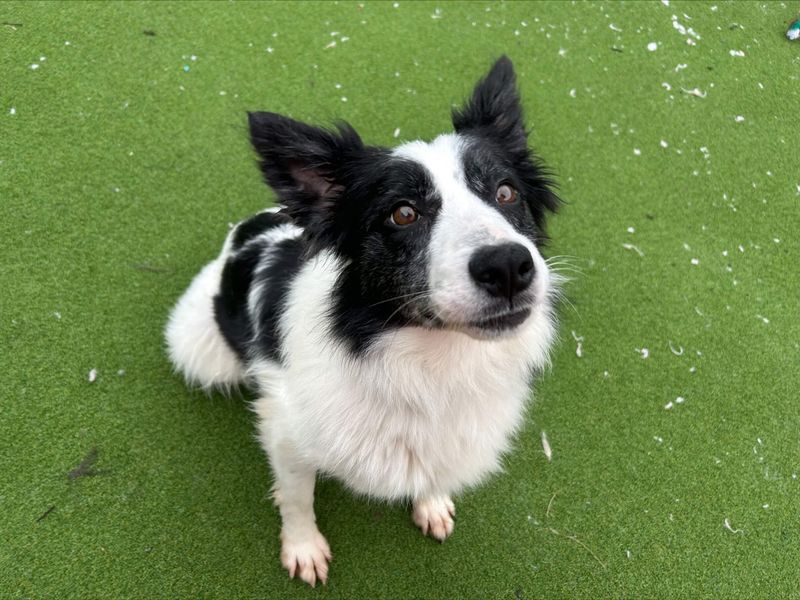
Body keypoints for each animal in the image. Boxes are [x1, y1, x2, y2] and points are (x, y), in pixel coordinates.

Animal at [166, 56, 560, 584]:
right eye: (403, 213)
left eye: (505, 191)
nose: (509, 267)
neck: (429, 366)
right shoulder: (287, 432)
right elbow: (297, 498)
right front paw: (304, 548)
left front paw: (431, 502)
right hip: (199, 347)